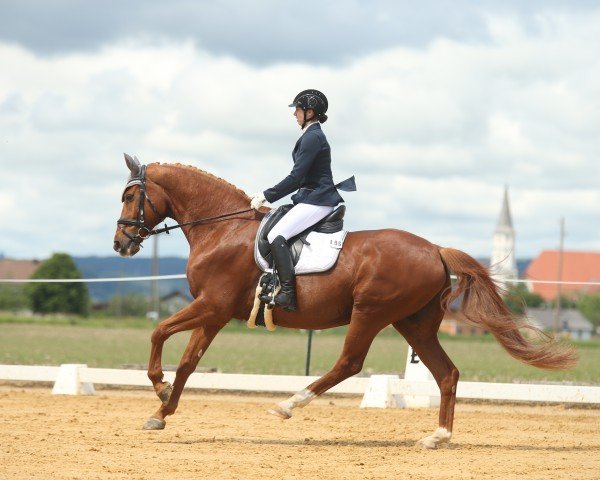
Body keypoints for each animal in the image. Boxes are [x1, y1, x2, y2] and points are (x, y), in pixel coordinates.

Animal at [112, 158, 576, 450]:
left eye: (130, 197)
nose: (120, 244)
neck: (221, 230)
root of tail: (435, 249)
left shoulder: (212, 307)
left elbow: (162, 337)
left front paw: (160, 392)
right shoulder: (214, 314)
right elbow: (184, 357)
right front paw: (162, 407)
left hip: (371, 313)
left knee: (350, 363)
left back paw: (289, 405)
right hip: (414, 323)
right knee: (446, 373)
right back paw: (437, 437)